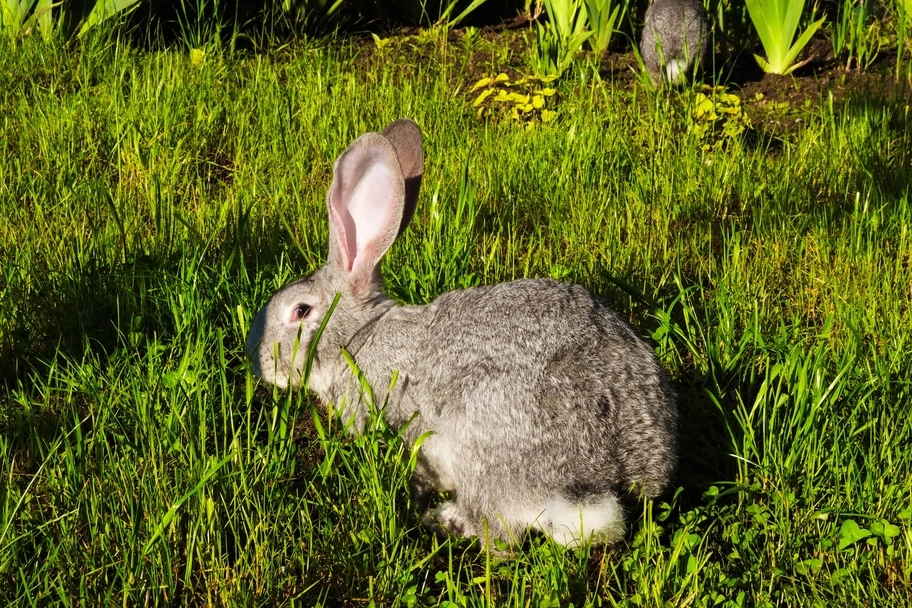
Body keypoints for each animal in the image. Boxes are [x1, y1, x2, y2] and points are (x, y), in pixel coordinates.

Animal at [245, 119, 677, 550]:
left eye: (301, 311)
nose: (258, 359)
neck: (360, 337)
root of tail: (612, 477)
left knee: (501, 535)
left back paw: (444, 521)